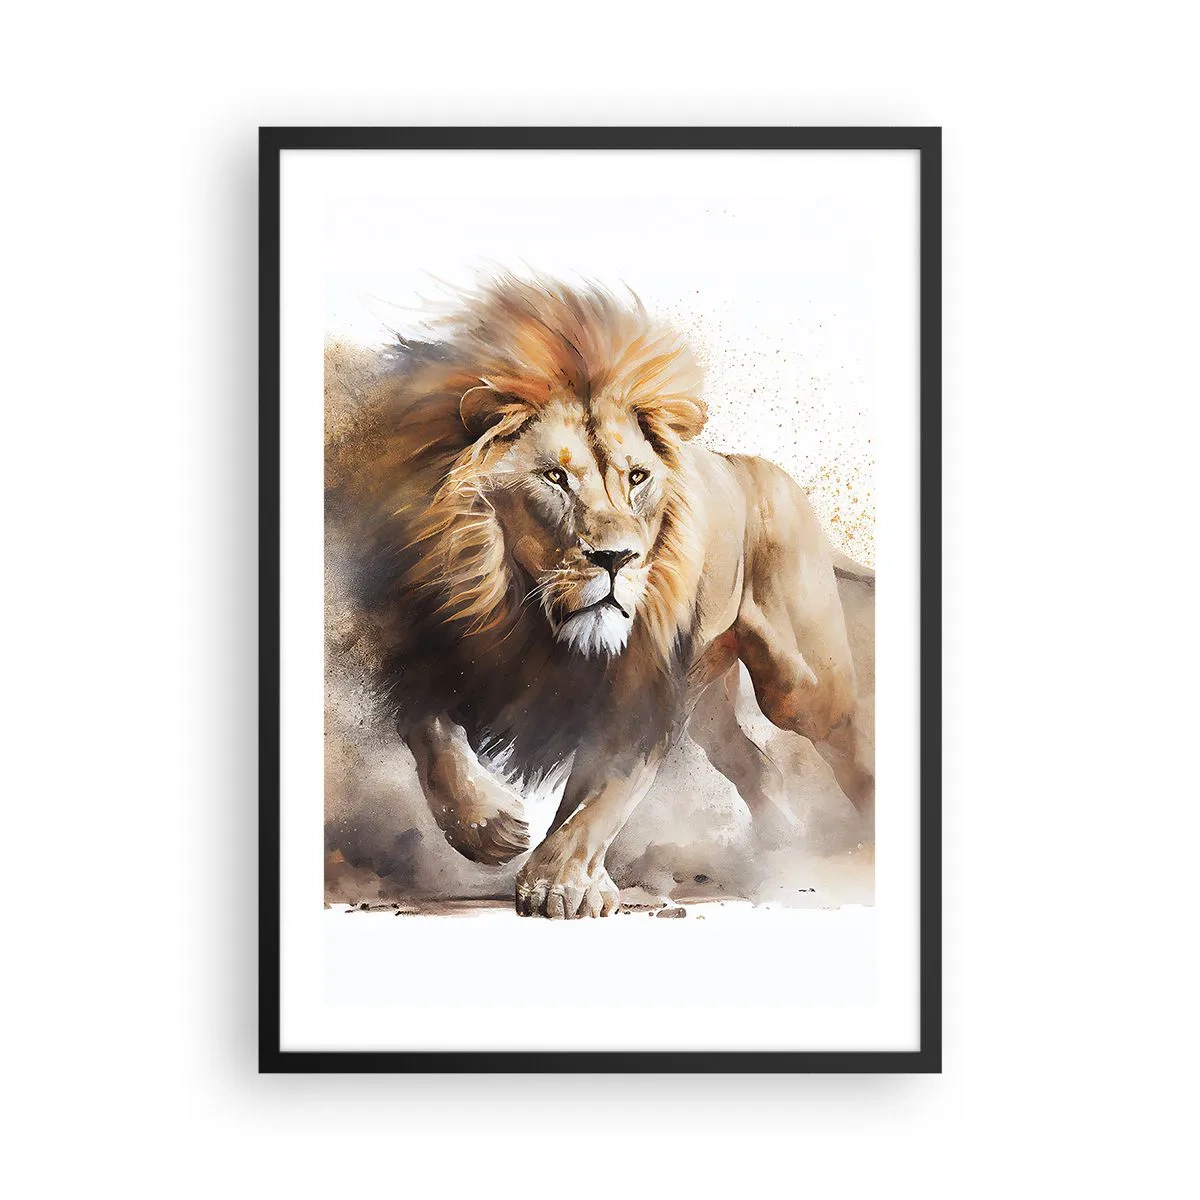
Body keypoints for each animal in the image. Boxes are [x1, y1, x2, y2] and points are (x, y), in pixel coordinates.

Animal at [325, 272, 874, 918]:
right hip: (709, 705)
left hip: (801, 685)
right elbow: (432, 741)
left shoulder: (638, 694)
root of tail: (750, 465)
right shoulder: (425, 648)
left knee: (848, 734)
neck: (526, 616)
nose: (617, 559)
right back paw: (781, 845)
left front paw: (562, 884)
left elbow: (602, 796)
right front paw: (491, 829)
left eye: (637, 477)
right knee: (756, 765)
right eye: (555, 478)